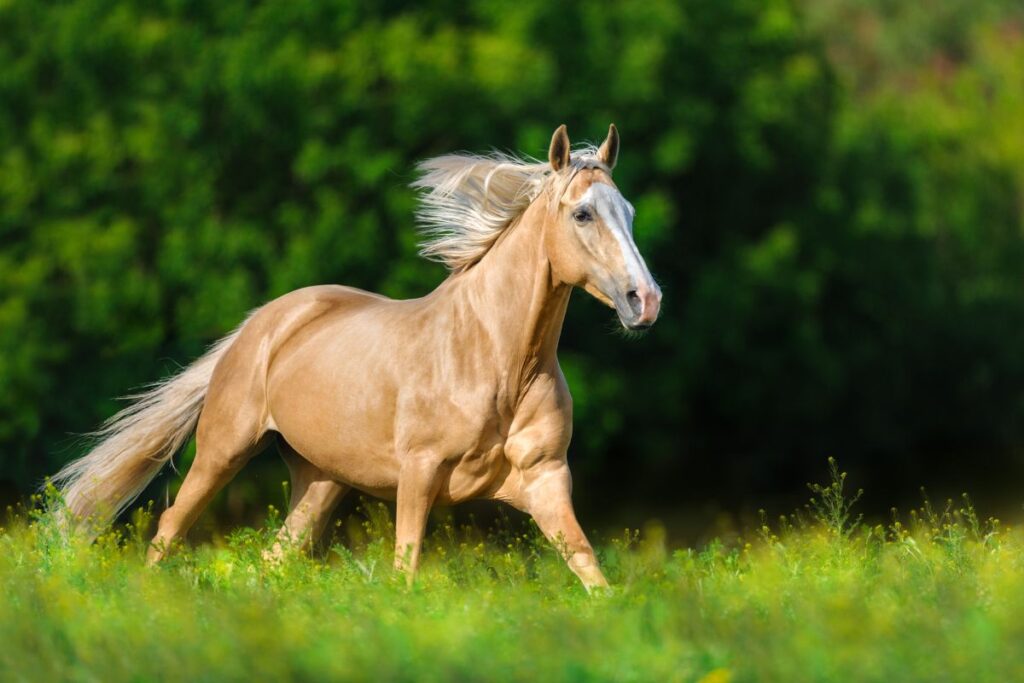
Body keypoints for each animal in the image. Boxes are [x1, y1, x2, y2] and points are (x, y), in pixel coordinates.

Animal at [54, 125, 663, 589]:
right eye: (582, 214)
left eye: (630, 211)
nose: (645, 300)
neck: (497, 361)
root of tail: (261, 324)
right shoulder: (419, 474)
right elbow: (405, 570)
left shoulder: (546, 479)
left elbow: (590, 571)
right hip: (222, 451)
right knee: (169, 530)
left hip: (320, 481)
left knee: (274, 557)